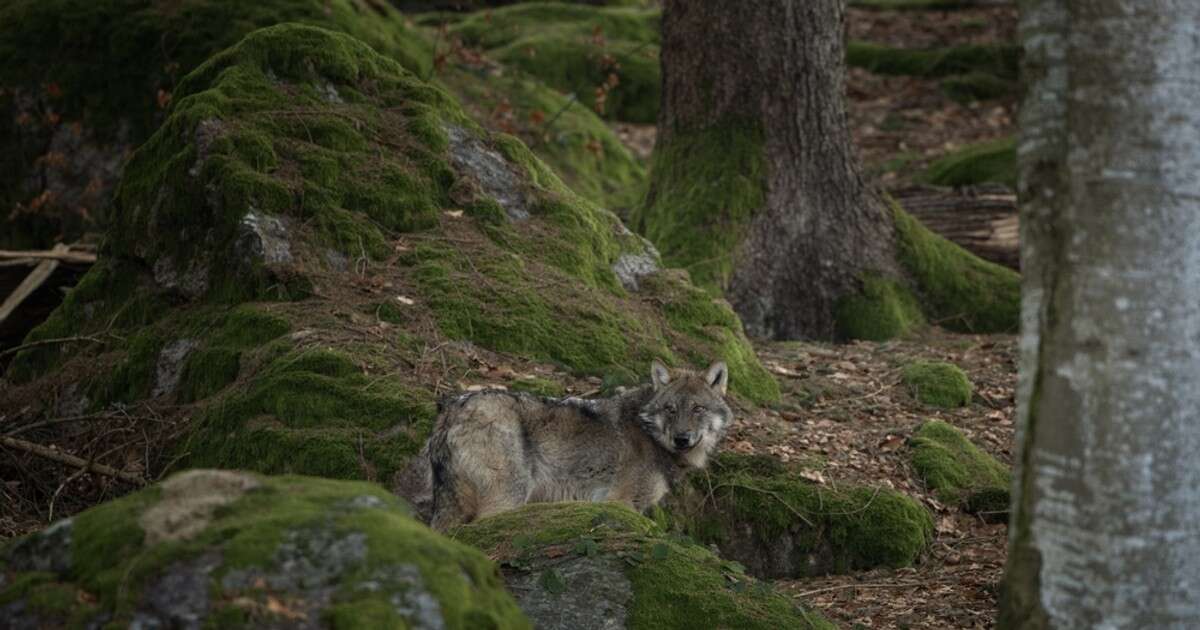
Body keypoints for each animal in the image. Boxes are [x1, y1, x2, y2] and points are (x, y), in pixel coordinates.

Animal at [427, 357, 734, 530]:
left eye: (697, 409)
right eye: (670, 409)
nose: (682, 439)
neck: (648, 432)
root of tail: (450, 410)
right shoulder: (620, 503)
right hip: (508, 498)